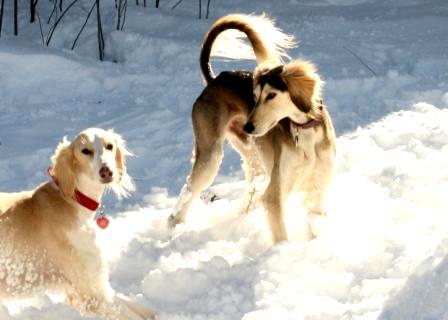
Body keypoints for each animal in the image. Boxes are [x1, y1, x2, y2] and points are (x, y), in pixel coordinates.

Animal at [170, 14, 334, 242]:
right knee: (188, 191)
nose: (248, 126)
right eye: (254, 97)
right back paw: (174, 227)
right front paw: (283, 250)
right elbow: (281, 234)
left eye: (271, 95)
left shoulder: (318, 191)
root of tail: (214, 80)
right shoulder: (275, 195)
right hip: (210, 156)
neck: (305, 134)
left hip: (253, 157)